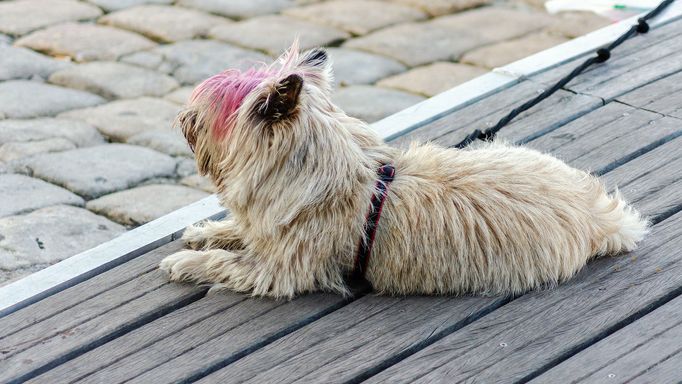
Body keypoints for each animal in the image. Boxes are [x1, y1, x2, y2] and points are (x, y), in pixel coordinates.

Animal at [158, 42, 644, 300]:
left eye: (212, 105)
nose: (183, 118)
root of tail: (599, 215)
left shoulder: (280, 269)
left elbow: (228, 263)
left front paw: (188, 260)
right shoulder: (266, 229)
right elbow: (238, 231)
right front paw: (207, 231)